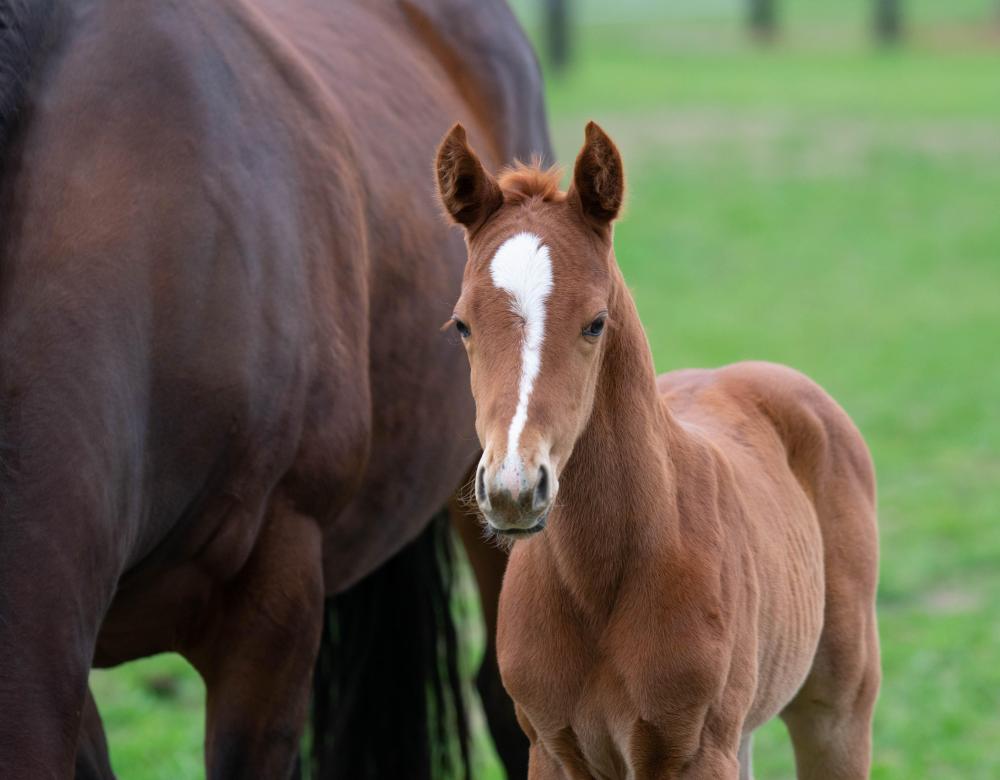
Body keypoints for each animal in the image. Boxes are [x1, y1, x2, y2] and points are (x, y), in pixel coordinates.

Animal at [434, 125, 880, 776]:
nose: (513, 489)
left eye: (596, 322)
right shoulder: (550, 748)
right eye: (462, 325)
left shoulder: (693, 751)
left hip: (836, 710)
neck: (598, 586)